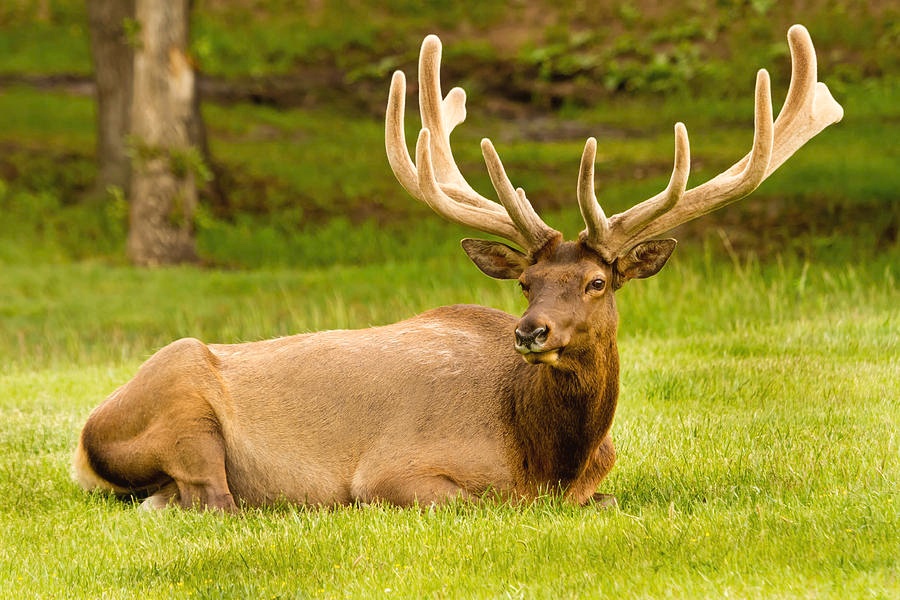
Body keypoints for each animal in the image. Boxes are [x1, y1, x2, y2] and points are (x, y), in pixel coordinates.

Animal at [72, 24, 844, 510]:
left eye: (596, 282)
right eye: (527, 283)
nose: (530, 332)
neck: (549, 460)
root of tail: (83, 440)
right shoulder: (393, 472)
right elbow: (478, 503)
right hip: (183, 405)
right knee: (213, 499)